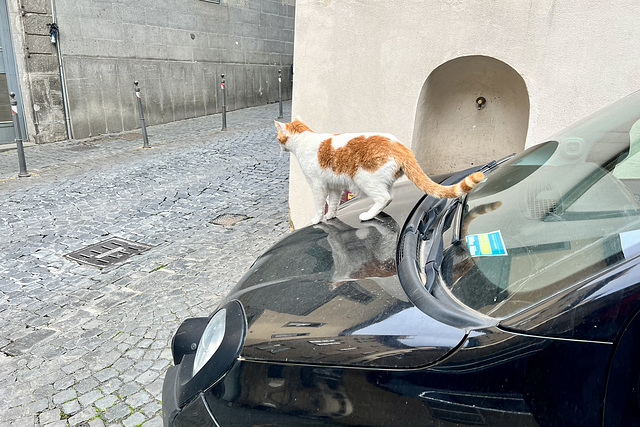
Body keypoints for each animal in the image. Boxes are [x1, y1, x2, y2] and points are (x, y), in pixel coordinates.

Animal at [276, 117, 484, 224]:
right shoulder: (334, 185)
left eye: (278, 138)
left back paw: (368, 215)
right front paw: (331, 215)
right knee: (389, 196)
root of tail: (402, 147)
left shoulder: (318, 185)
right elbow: (333, 203)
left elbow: (320, 204)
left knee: (385, 197)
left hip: (364, 178)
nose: (279, 147)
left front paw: (318, 218)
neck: (304, 139)